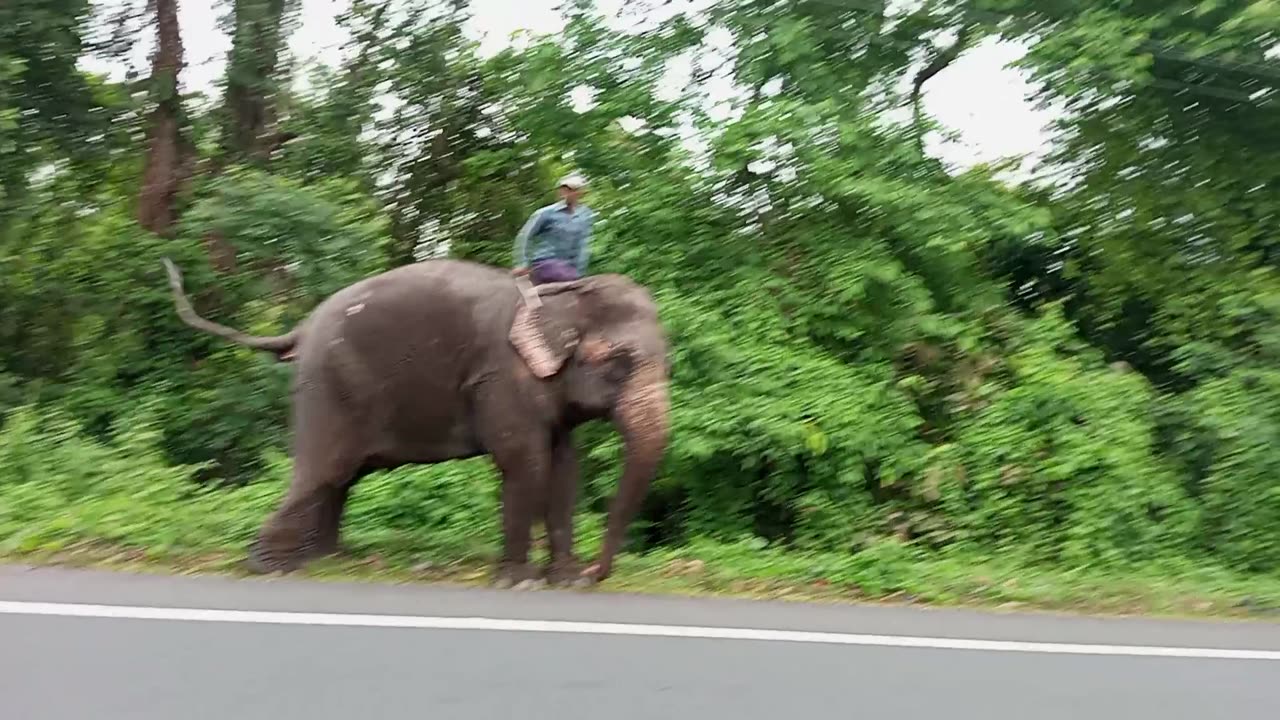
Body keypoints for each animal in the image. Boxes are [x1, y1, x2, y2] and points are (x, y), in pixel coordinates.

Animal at [165, 254, 675, 586]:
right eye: (620, 362)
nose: (595, 574)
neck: (562, 297)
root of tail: (302, 329)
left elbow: (565, 467)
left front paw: (563, 580)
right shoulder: (502, 377)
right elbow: (525, 462)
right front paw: (519, 582)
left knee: (339, 476)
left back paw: (327, 560)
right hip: (327, 385)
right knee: (324, 469)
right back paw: (271, 566)